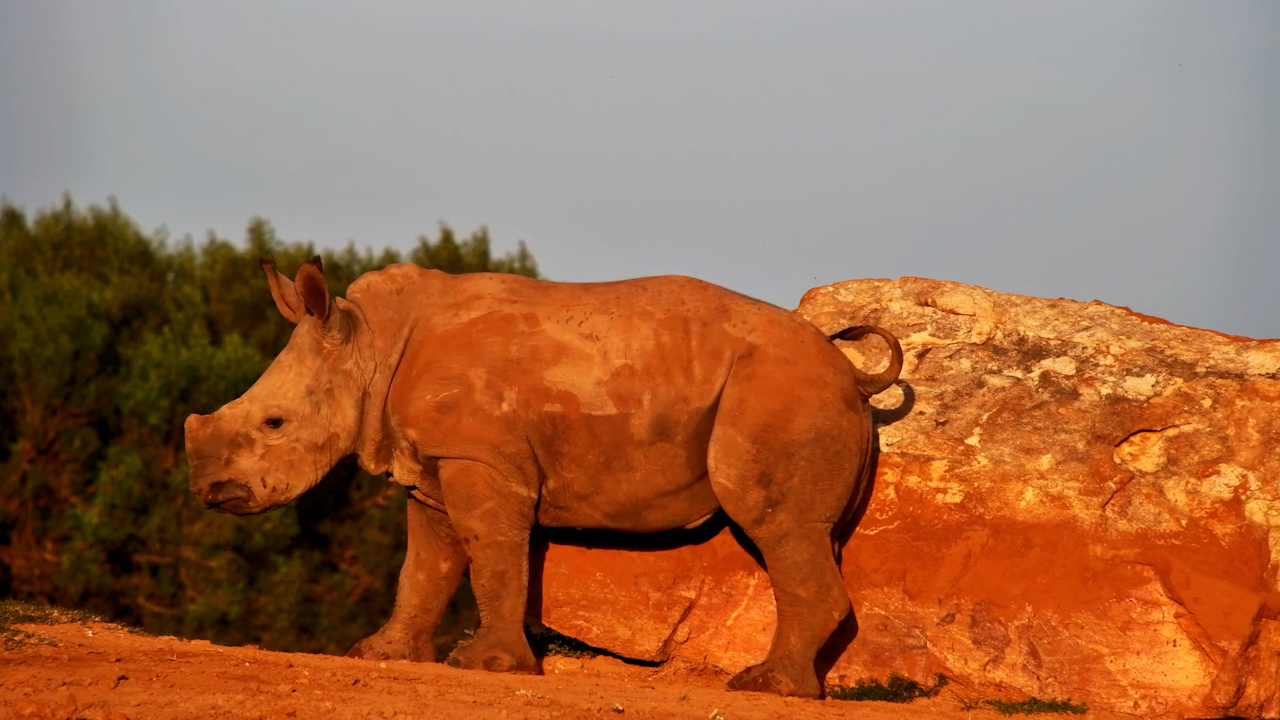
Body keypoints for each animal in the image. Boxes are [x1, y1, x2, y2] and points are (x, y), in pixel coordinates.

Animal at [184, 258, 902, 698]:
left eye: (274, 423)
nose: (210, 492)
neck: (370, 346)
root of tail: (850, 373)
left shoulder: (479, 457)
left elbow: (492, 555)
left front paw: (488, 666)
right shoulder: (435, 463)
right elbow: (425, 566)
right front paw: (379, 654)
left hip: (781, 395)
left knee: (778, 526)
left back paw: (762, 686)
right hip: (799, 396)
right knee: (812, 537)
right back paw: (797, 685)